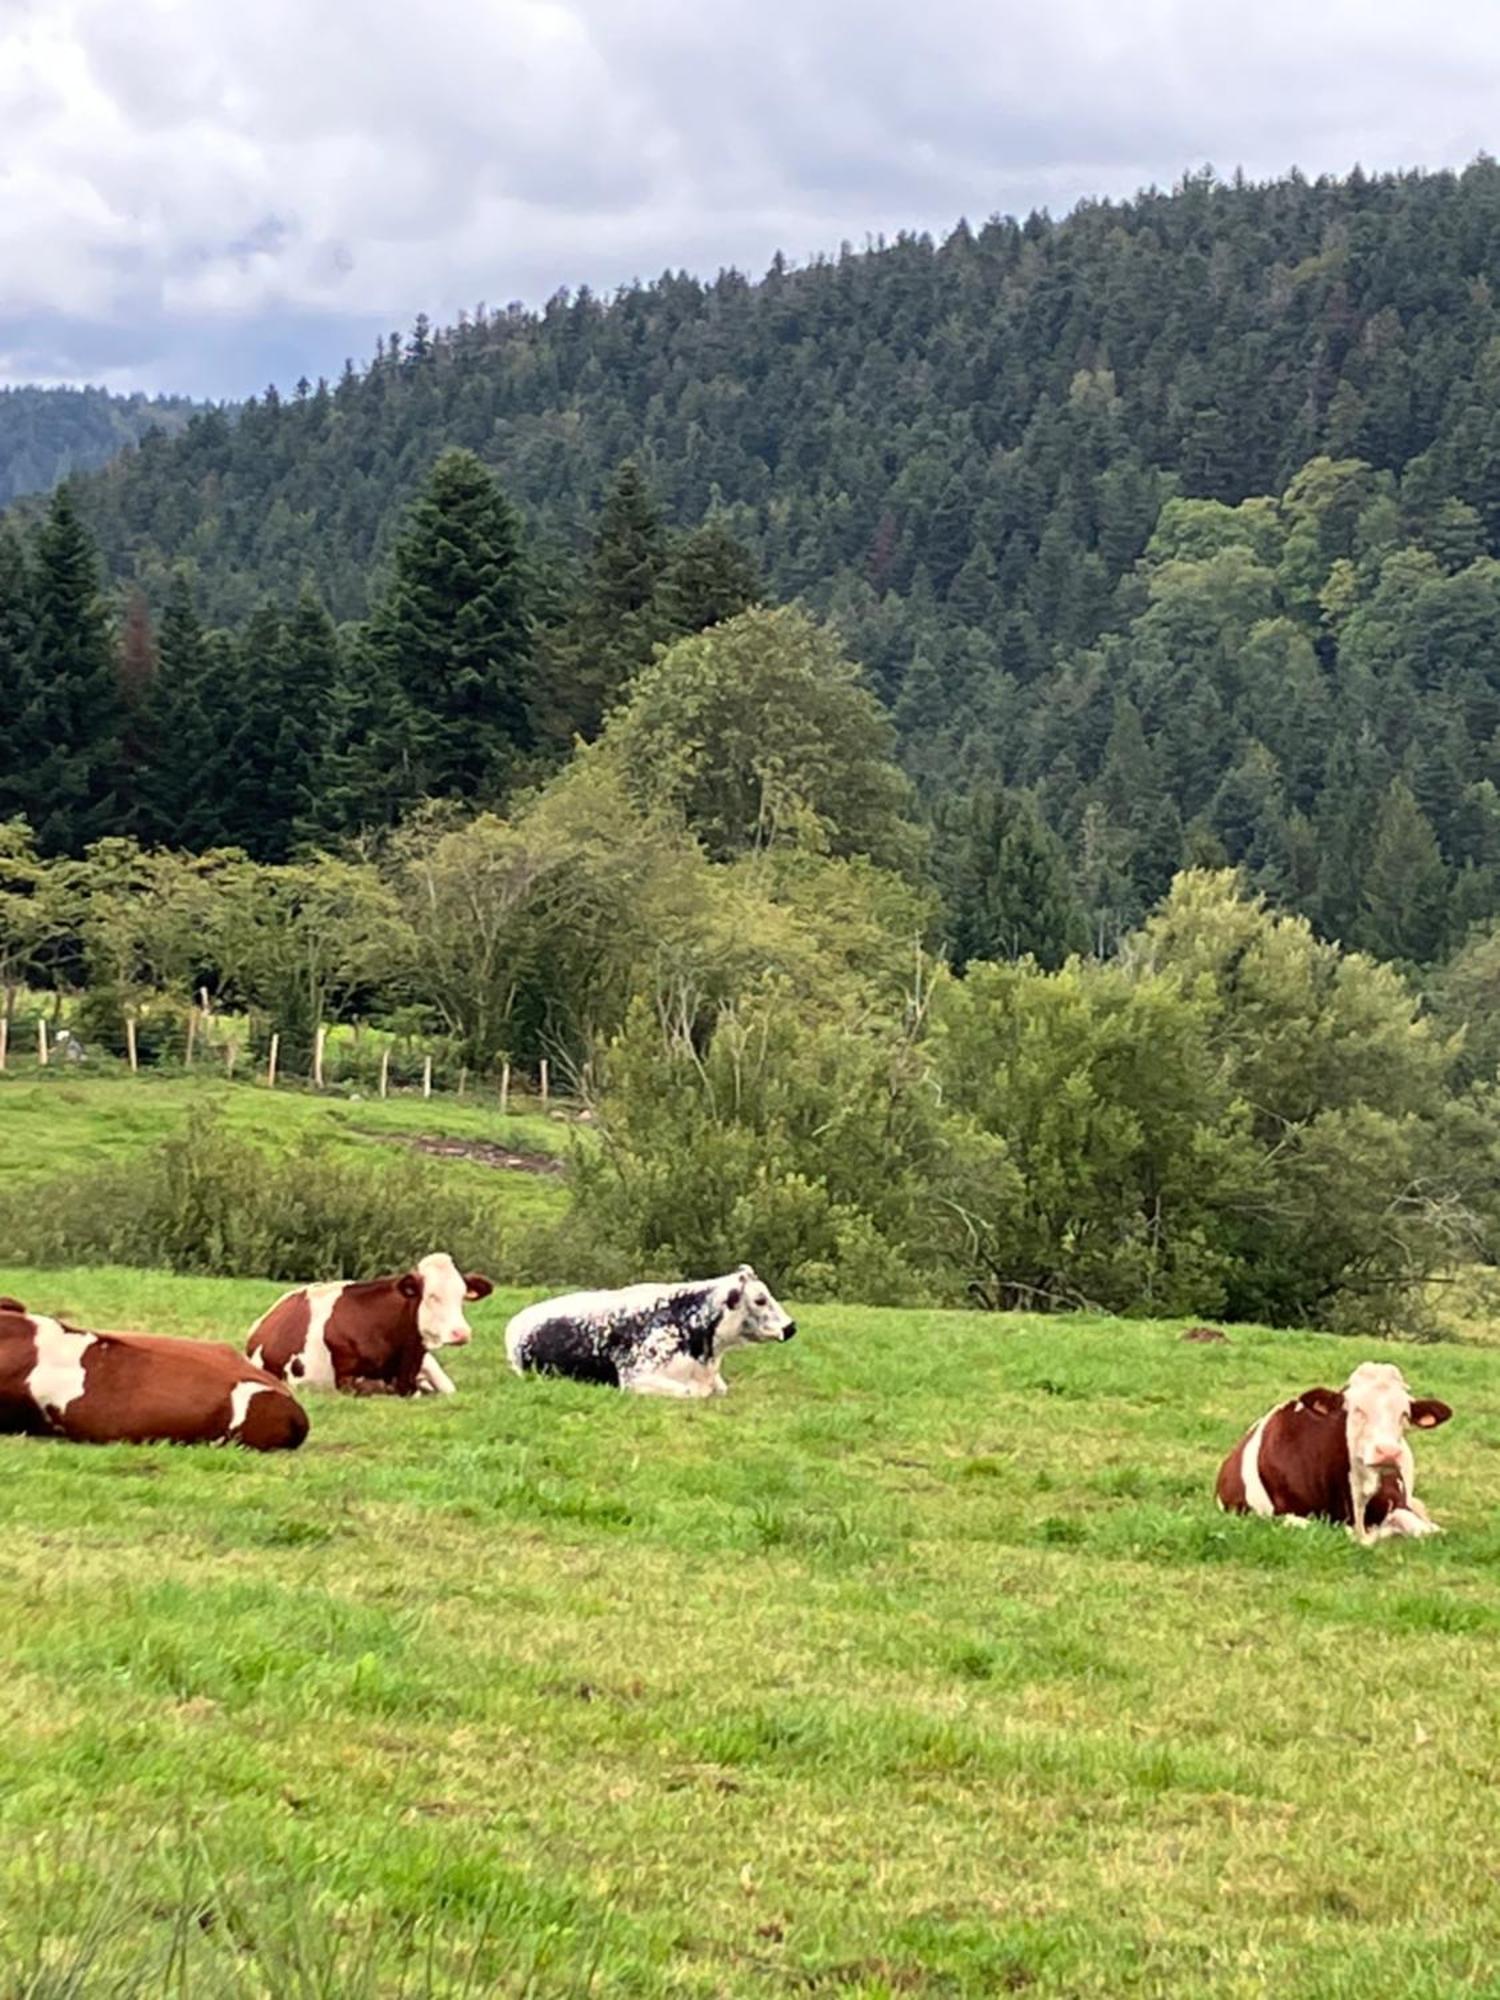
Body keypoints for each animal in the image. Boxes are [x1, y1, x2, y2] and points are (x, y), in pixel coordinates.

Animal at [1224, 1360, 1456, 1544]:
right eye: (1356, 1409)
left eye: (1404, 1414)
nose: (1388, 1452)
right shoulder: (1284, 1515)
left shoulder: (1399, 1504)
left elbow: (1431, 1531)